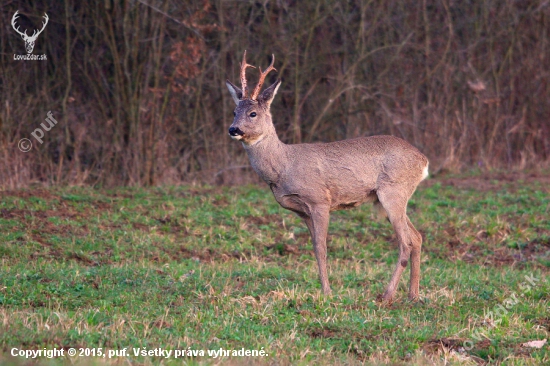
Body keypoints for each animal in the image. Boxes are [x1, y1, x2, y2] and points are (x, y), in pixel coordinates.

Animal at [226, 52, 430, 304]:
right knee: (417, 237)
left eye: (252, 113)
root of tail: (423, 161)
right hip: (390, 200)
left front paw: (327, 292)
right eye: (234, 111)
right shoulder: (302, 211)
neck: (283, 166)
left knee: (405, 242)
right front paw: (325, 289)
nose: (233, 129)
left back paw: (387, 295)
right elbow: (314, 247)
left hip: (392, 191)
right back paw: (413, 295)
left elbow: (322, 247)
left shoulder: (319, 200)